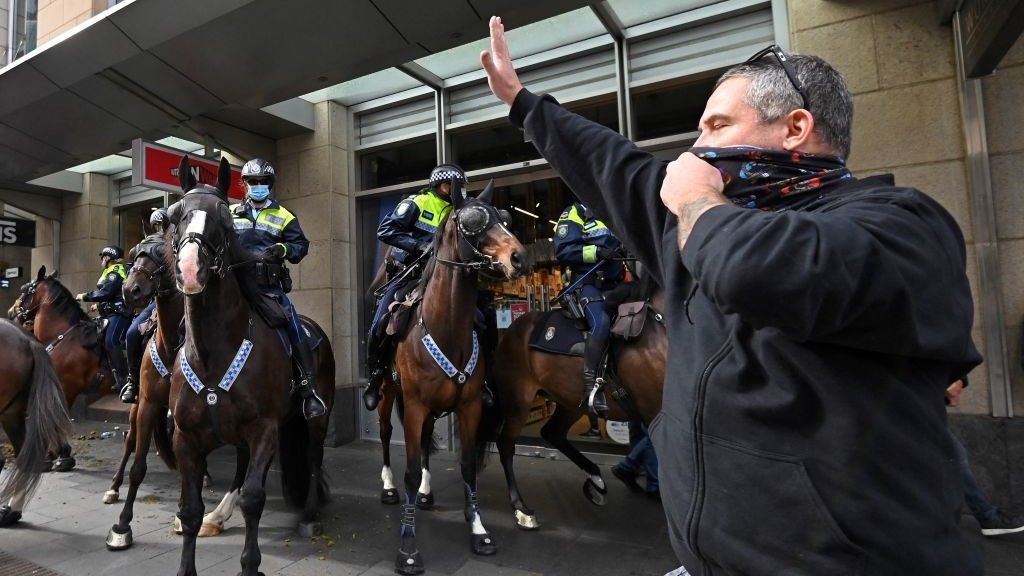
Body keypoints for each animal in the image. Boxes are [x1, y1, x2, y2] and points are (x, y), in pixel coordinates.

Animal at [8, 266, 111, 472]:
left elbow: (56, 419)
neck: (63, 337)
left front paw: (62, 455)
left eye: (24, 290)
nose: (9, 311)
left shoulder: (66, 387)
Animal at [167, 156, 335, 576]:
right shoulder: (186, 438)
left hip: (314, 420)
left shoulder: (264, 428)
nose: (190, 270)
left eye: (225, 219)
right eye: (175, 215)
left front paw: (250, 563)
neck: (212, 355)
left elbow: (255, 499)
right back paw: (219, 514)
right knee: (242, 466)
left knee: (312, 458)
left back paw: (310, 514)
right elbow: (189, 510)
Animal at [384, 180, 526, 575]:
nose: (519, 258)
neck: (446, 326)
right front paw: (408, 548)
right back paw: (388, 487)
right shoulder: (414, 406)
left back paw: (426, 493)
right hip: (387, 395)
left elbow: (466, 465)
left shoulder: (469, 406)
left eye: (505, 218)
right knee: (385, 434)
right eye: (474, 221)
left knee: (427, 440)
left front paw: (478, 530)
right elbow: (409, 469)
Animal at [490, 272, 666, 530]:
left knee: (552, 433)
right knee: (505, 444)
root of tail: (513, 329)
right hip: (518, 400)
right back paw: (521, 509)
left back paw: (596, 480)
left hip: (569, 401)